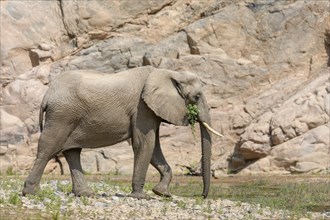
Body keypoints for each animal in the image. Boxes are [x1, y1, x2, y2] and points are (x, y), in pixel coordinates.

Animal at [22, 65, 222, 199]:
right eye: (196, 97)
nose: (202, 196)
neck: (168, 72)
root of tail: (47, 94)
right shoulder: (142, 108)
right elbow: (145, 144)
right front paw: (142, 197)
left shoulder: (150, 110)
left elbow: (154, 147)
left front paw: (162, 193)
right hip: (62, 115)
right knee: (48, 148)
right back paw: (32, 193)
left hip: (68, 116)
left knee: (72, 152)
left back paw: (85, 194)